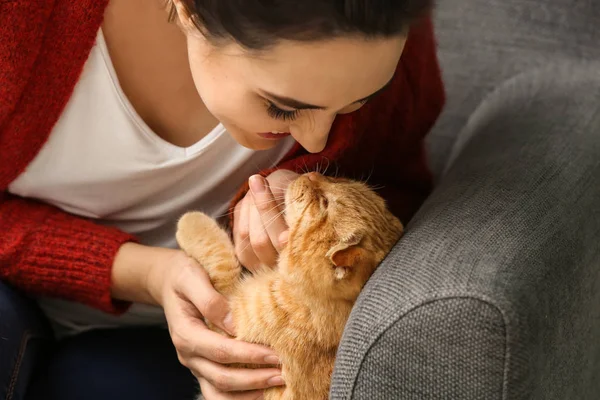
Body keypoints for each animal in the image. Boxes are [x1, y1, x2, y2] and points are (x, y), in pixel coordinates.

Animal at [177, 173, 404, 400]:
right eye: (339, 179)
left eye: (324, 202)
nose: (310, 174)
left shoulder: (231, 335)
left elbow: (221, 261)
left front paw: (189, 221)